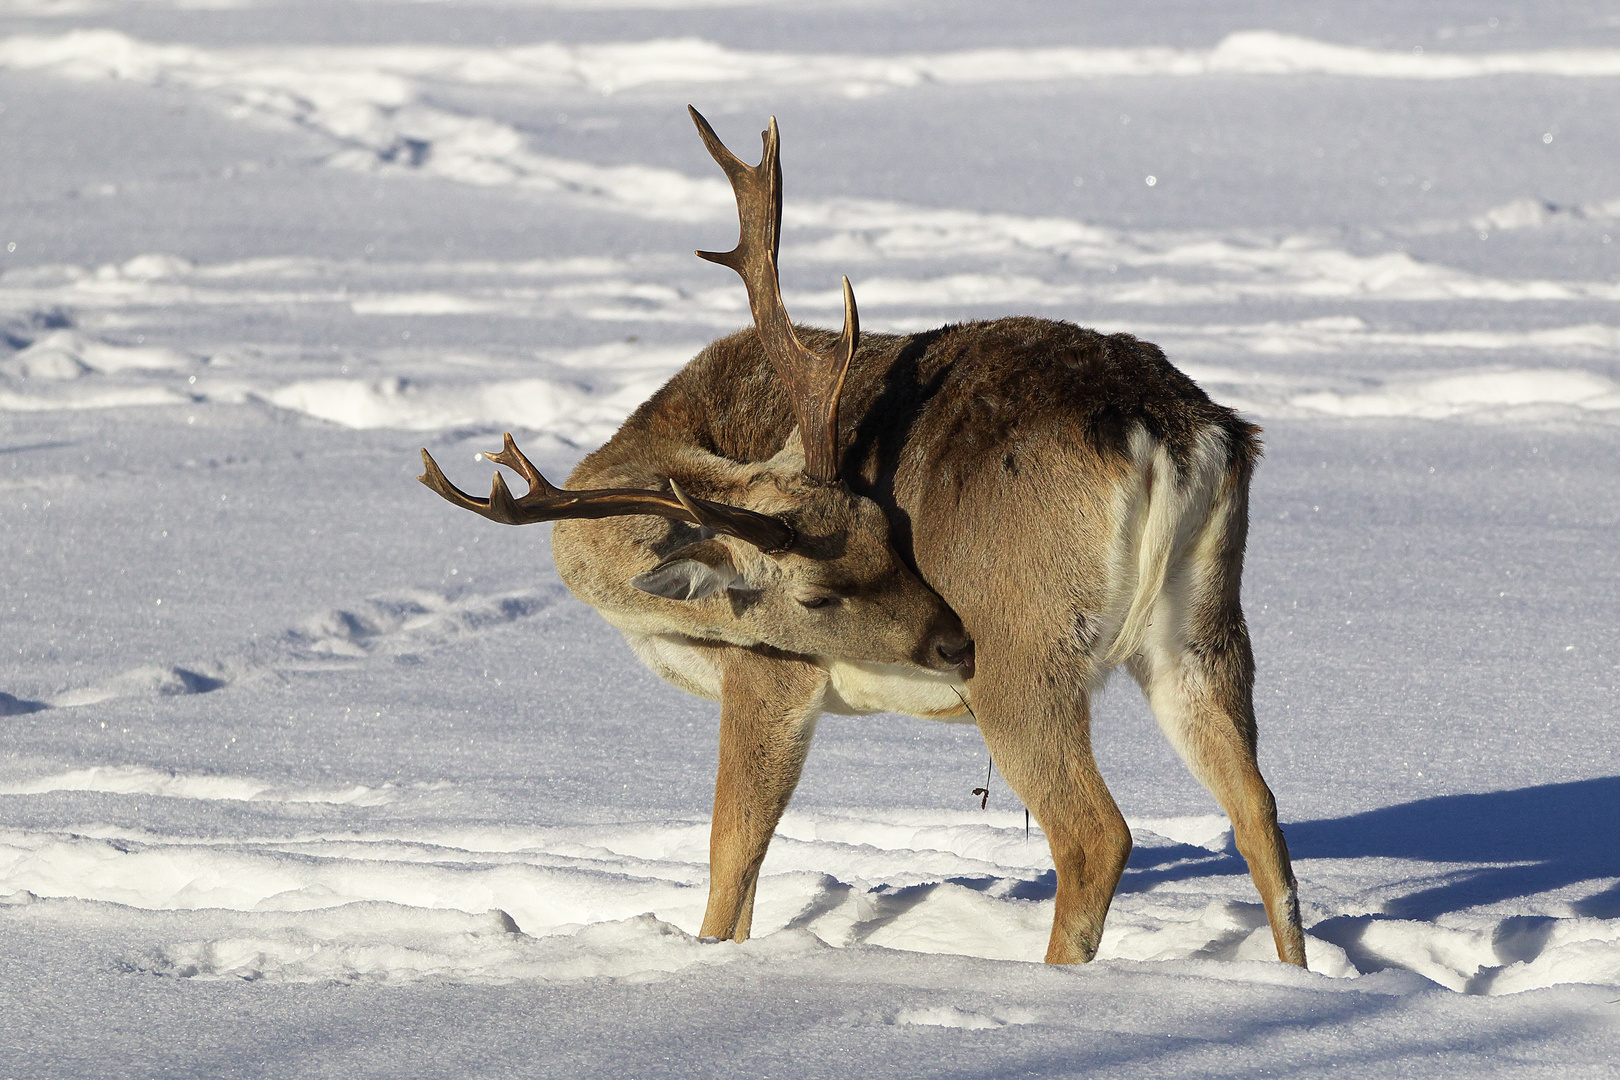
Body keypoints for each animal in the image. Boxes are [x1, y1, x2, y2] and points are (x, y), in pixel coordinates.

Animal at [417, 110, 1302, 971]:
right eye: (873, 532)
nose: (947, 640)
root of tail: (1175, 427)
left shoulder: (770, 670)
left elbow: (733, 856)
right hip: (1202, 625)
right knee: (1259, 808)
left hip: (1024, 646)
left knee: (1096, 834)